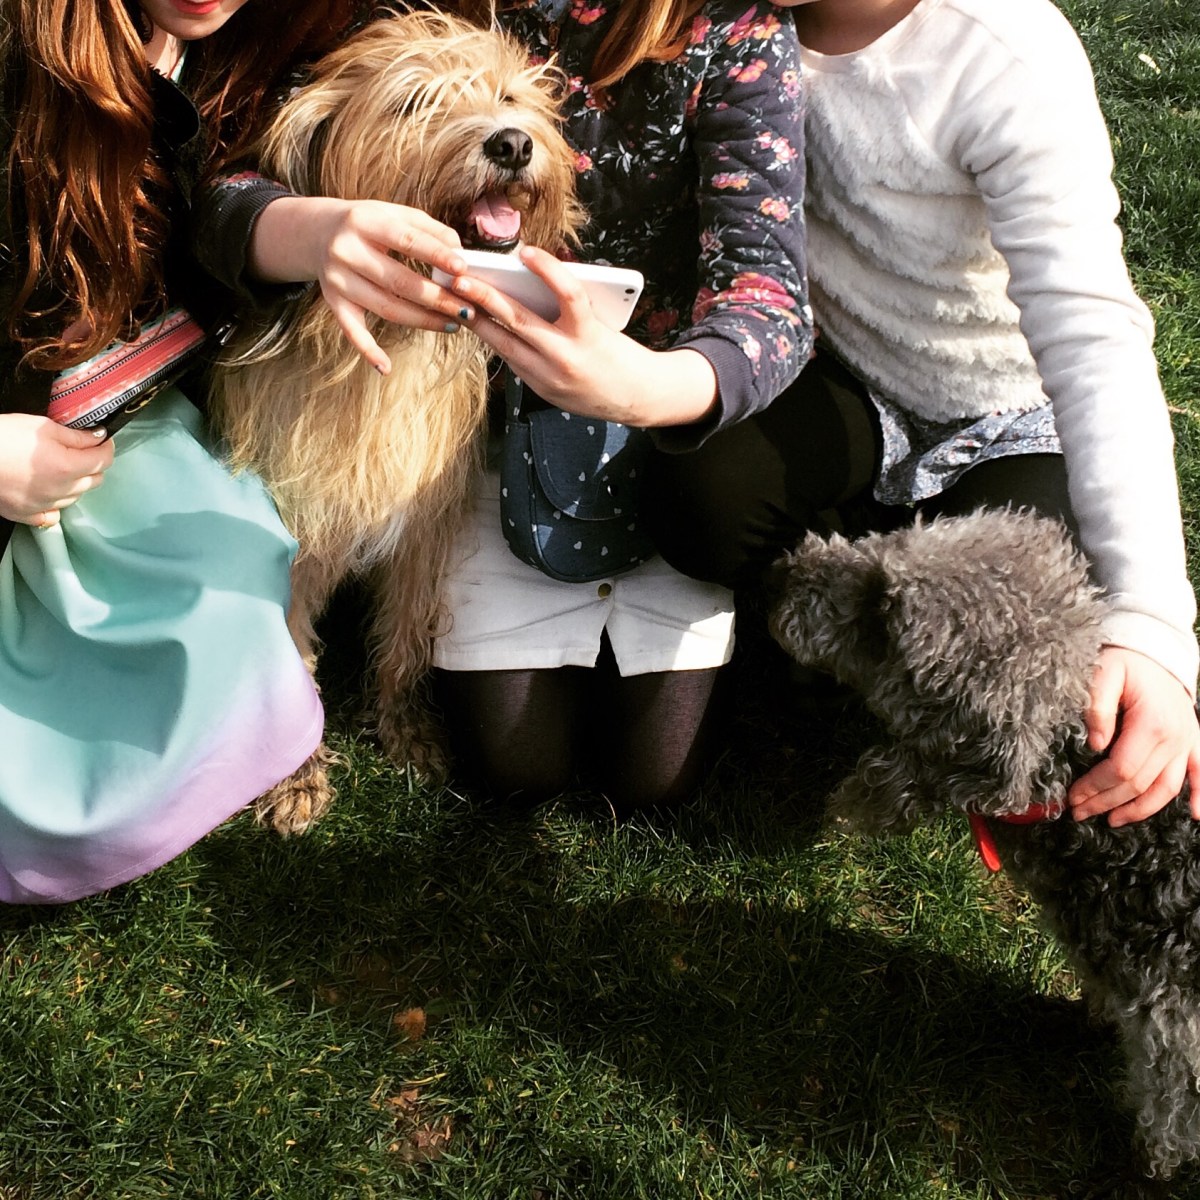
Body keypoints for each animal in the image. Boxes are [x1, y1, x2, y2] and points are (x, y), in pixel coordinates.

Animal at [212, 11, 582, 835]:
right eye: (413, 104)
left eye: (508, 95)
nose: (512, 143)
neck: (388, 343)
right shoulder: (299, 536)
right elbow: (290, 659)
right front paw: (296, 775)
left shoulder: (423, 522)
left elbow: (408, 637)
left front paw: (408, 729)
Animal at [768, 508, 1200, 1190]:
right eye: (898, 540)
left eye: (882, 612)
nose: (779, 573)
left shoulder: (1175, 1039)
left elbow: (1168, 1117)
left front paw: (1152, 1165)